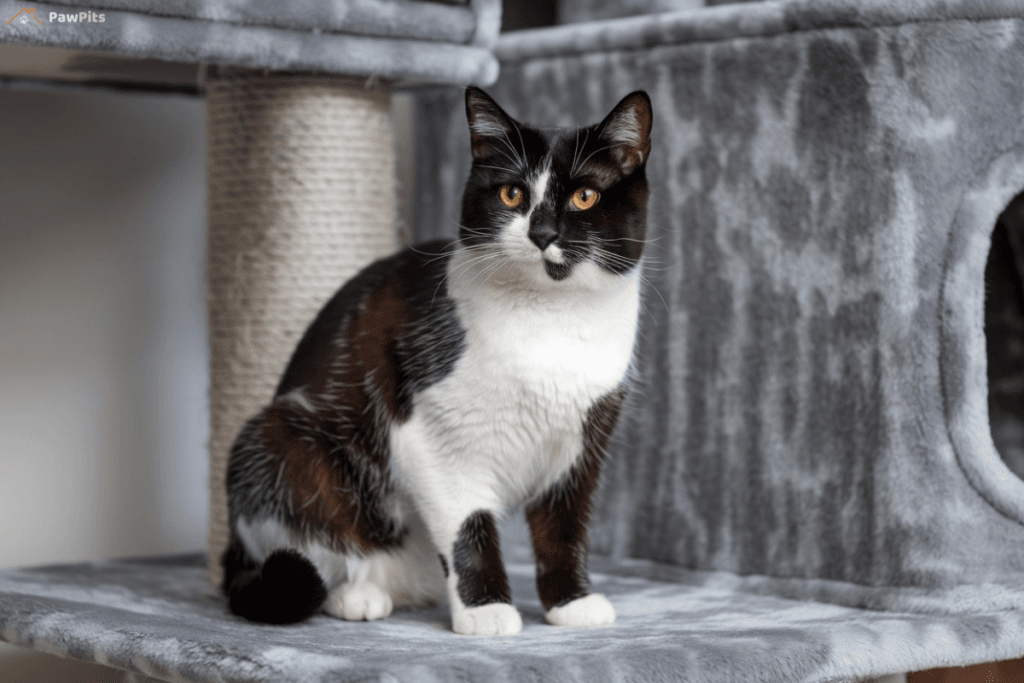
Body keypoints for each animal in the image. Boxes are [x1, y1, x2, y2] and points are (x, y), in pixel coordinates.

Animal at [224, 83, 655, 634]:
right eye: (512, 194)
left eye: (585, 196)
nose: (542, 234)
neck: (550, 320)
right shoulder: (430, 440)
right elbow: (469, 525)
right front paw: (487, 610)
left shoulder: (583, 442)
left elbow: (565, 527)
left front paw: (571, 602)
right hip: (281, 441)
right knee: (320, 552)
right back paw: (358, 595)